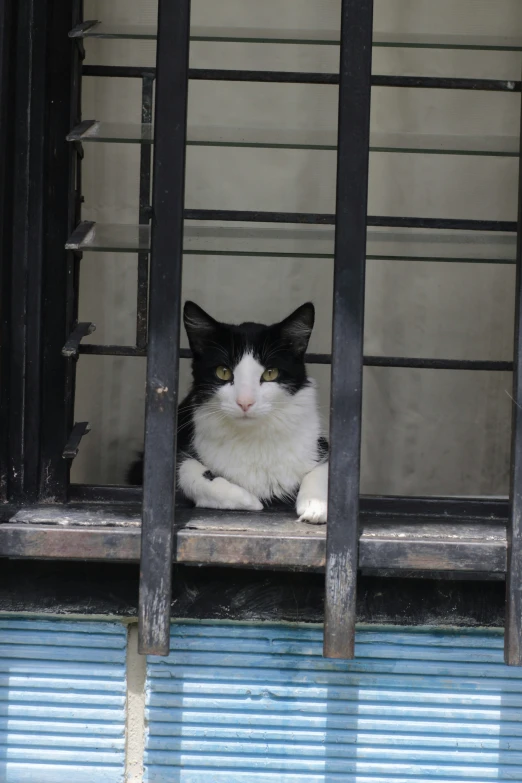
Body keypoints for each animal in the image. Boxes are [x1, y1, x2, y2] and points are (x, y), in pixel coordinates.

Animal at [128, 302, 328, 528]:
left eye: (270, 373)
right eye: (223, 372)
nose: (245, 402)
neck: (251, 439)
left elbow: (323, 470)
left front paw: (315, 506)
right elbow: (187, 472)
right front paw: (248, 500)